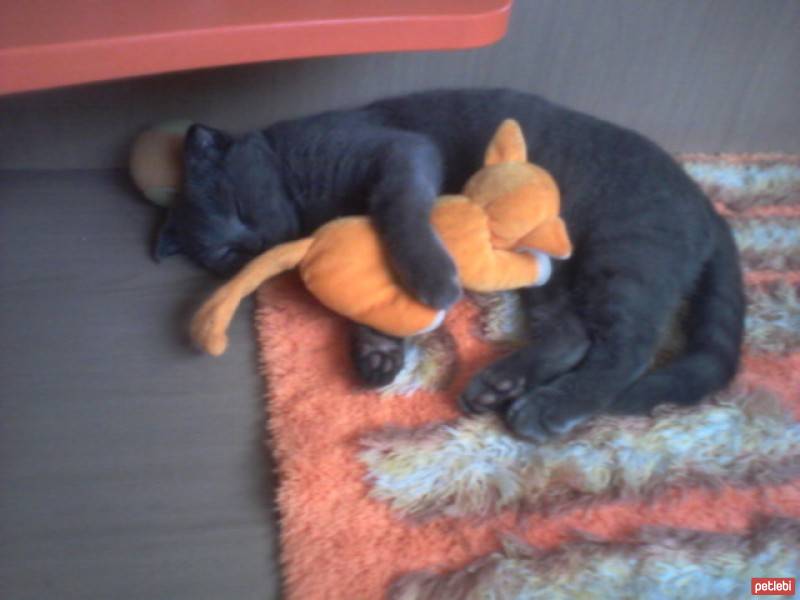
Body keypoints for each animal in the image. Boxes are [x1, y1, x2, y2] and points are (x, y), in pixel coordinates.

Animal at [156, 89, 744, 438]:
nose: (251, 243)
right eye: (226, 255)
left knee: (629, 349)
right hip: (556, 275)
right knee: (574, 335)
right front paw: (375, 351)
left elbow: (399, 213)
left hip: (622, 255)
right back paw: (501, 385)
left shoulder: (399, 152)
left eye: (237, 203)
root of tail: (706, 204)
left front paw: (432, 280)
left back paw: (547, 409)